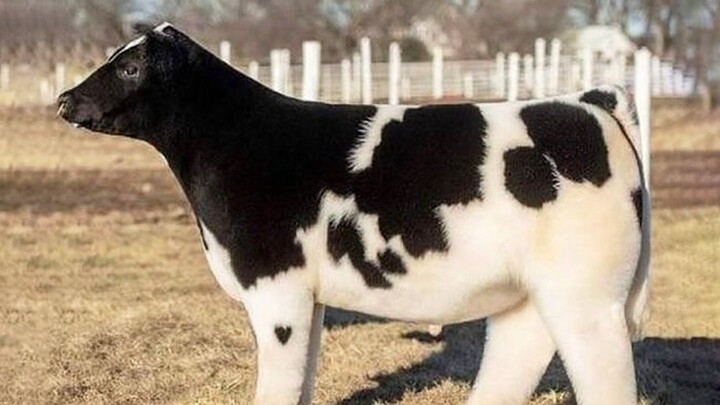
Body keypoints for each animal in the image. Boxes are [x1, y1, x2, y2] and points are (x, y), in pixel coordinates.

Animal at [57, 23, 650, 405]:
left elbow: (279, 384)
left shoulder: (276, 289)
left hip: (590, 300)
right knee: (514, 364)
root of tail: (588, 101)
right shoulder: (308, 297)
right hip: (531, 298)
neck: (241, 141)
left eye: (130, 66)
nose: (65, 99)